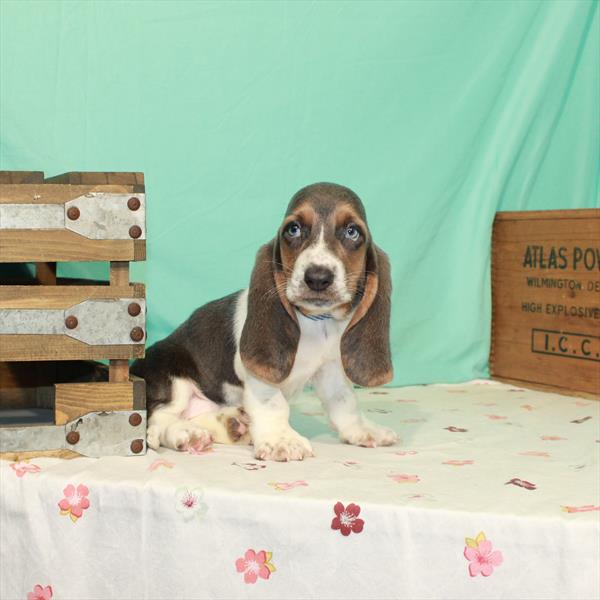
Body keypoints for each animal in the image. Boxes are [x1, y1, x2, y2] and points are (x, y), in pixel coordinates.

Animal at [134, 182, 400, 460]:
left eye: (352, 232)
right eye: (293, 229)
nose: (317, 277)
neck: (315, 323)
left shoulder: (330, 370)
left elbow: (344, 402)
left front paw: (363, 430)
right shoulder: (259, 379)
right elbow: (274, 405)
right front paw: (282, 439)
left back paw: (232, 424)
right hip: (172, 375)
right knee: (159, 420)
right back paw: (188, 434)